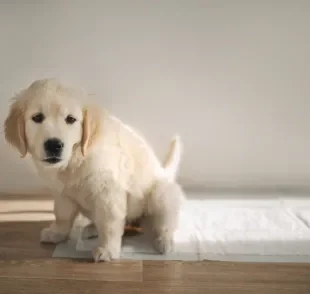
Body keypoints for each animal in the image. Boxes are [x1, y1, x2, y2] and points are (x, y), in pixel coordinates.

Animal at [4, 78, 184, 262]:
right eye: (37, 117)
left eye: (70, 119)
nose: (54, 145)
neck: (75, 160)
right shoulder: (62, 193)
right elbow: (62, 215)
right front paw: (57, 233)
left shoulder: (108, 192)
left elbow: (109, 223)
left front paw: (107, 249)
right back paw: (91, 228)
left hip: (161, 193)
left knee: (164, 222)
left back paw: (164, 241)